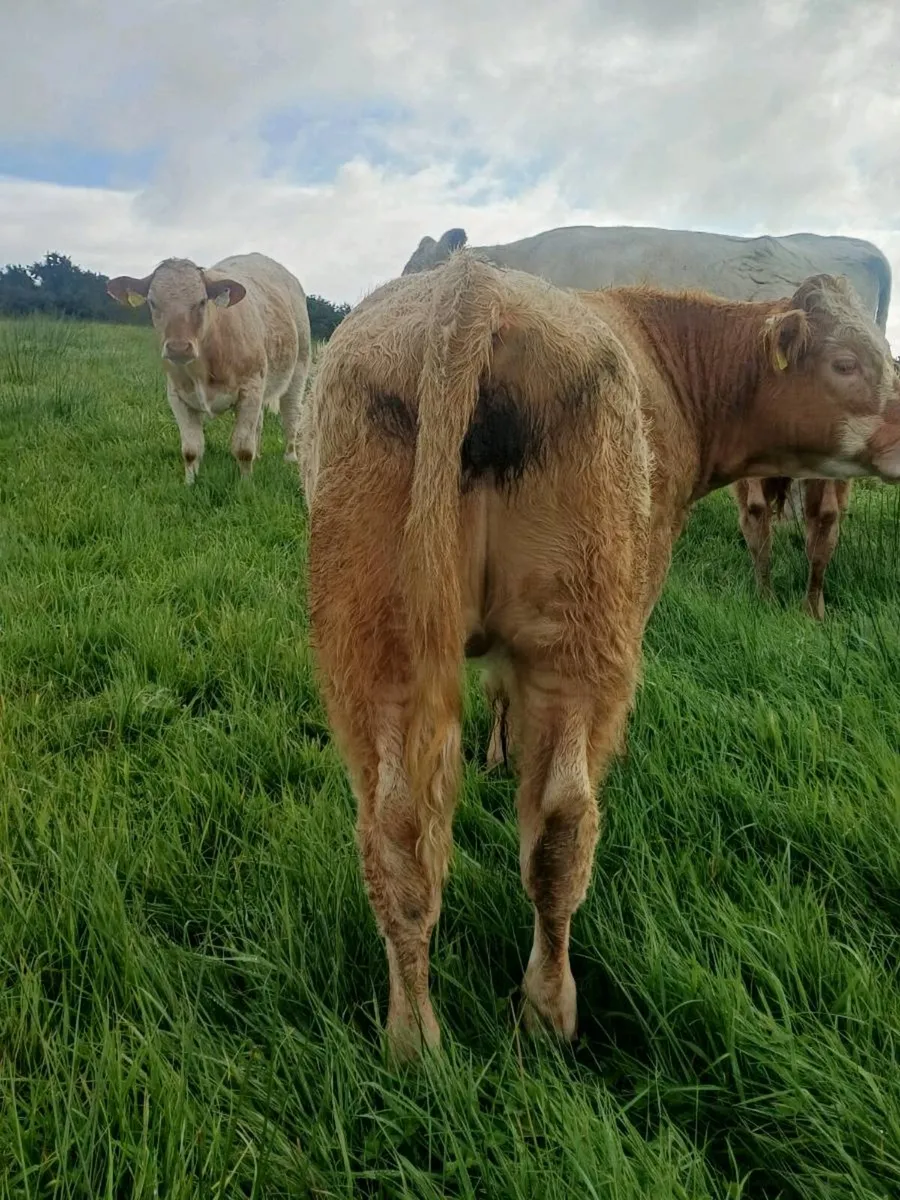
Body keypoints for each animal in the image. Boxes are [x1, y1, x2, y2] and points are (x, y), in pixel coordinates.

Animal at [107, 253, 311, 485]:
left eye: (202, 301)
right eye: (152, 302)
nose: (178, 348)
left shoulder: (250, 389)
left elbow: (243, 448)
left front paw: (246, 485)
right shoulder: (177, 396)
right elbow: (191, 449)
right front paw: (189, 483)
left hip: (298, 370)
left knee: (291, 414)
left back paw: (290, 457)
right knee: (258, 423)